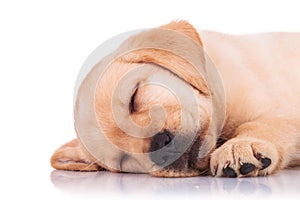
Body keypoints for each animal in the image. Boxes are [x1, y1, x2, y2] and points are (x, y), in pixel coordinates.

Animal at [51, 20, 300, 177]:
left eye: (134, 98)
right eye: (123, 160)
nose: (160, 149)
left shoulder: (278, 109)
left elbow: (262, 124)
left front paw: (242, 145)